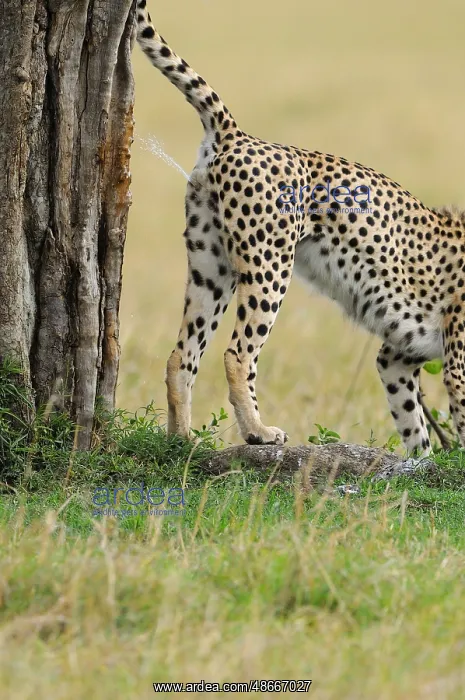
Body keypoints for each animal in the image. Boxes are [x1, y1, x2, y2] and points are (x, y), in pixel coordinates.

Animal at [136, 0, 465, 455]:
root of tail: (239, 136)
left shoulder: (396, 356)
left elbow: (414, 428)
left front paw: (422, 461)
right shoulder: (453, 366)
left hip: (210, 268)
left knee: (181, 353)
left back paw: (181, 441)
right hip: (269, 264)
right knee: (238, 354)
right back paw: (258, 431)